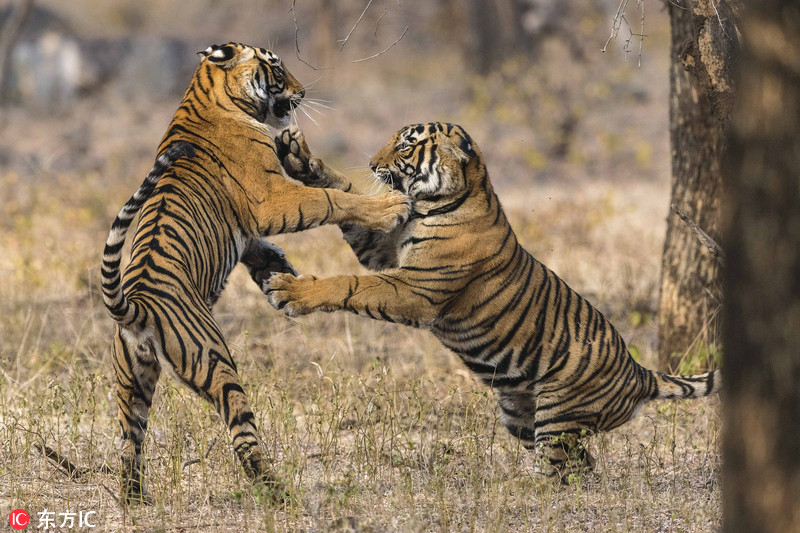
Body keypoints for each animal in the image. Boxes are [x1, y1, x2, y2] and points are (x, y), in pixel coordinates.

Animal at [101, 42, 412, 502]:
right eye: (278, 68)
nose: (303, 92)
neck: (208, 95)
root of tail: (135, 305)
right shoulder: (270, 199)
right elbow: (332, 200)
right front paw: (391, 207)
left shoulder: (248, 232)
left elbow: (268, 251)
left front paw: (283, 278)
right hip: (214, 360)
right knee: (243, 437)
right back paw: (278, 493)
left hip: (132, 385)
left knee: (128, 446)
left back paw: (137, 501)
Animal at [268, 122, 720, 480]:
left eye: (405, 147)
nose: (372, 161)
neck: (437, 202)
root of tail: (639, 373)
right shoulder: (384, 252)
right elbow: (346, 199)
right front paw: (302, 159)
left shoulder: (415, 287)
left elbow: (349, 284)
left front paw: (289, 290)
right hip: (519, 416)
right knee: (581, 464)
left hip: (557, 412)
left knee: (556, 471)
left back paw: (520, 490)